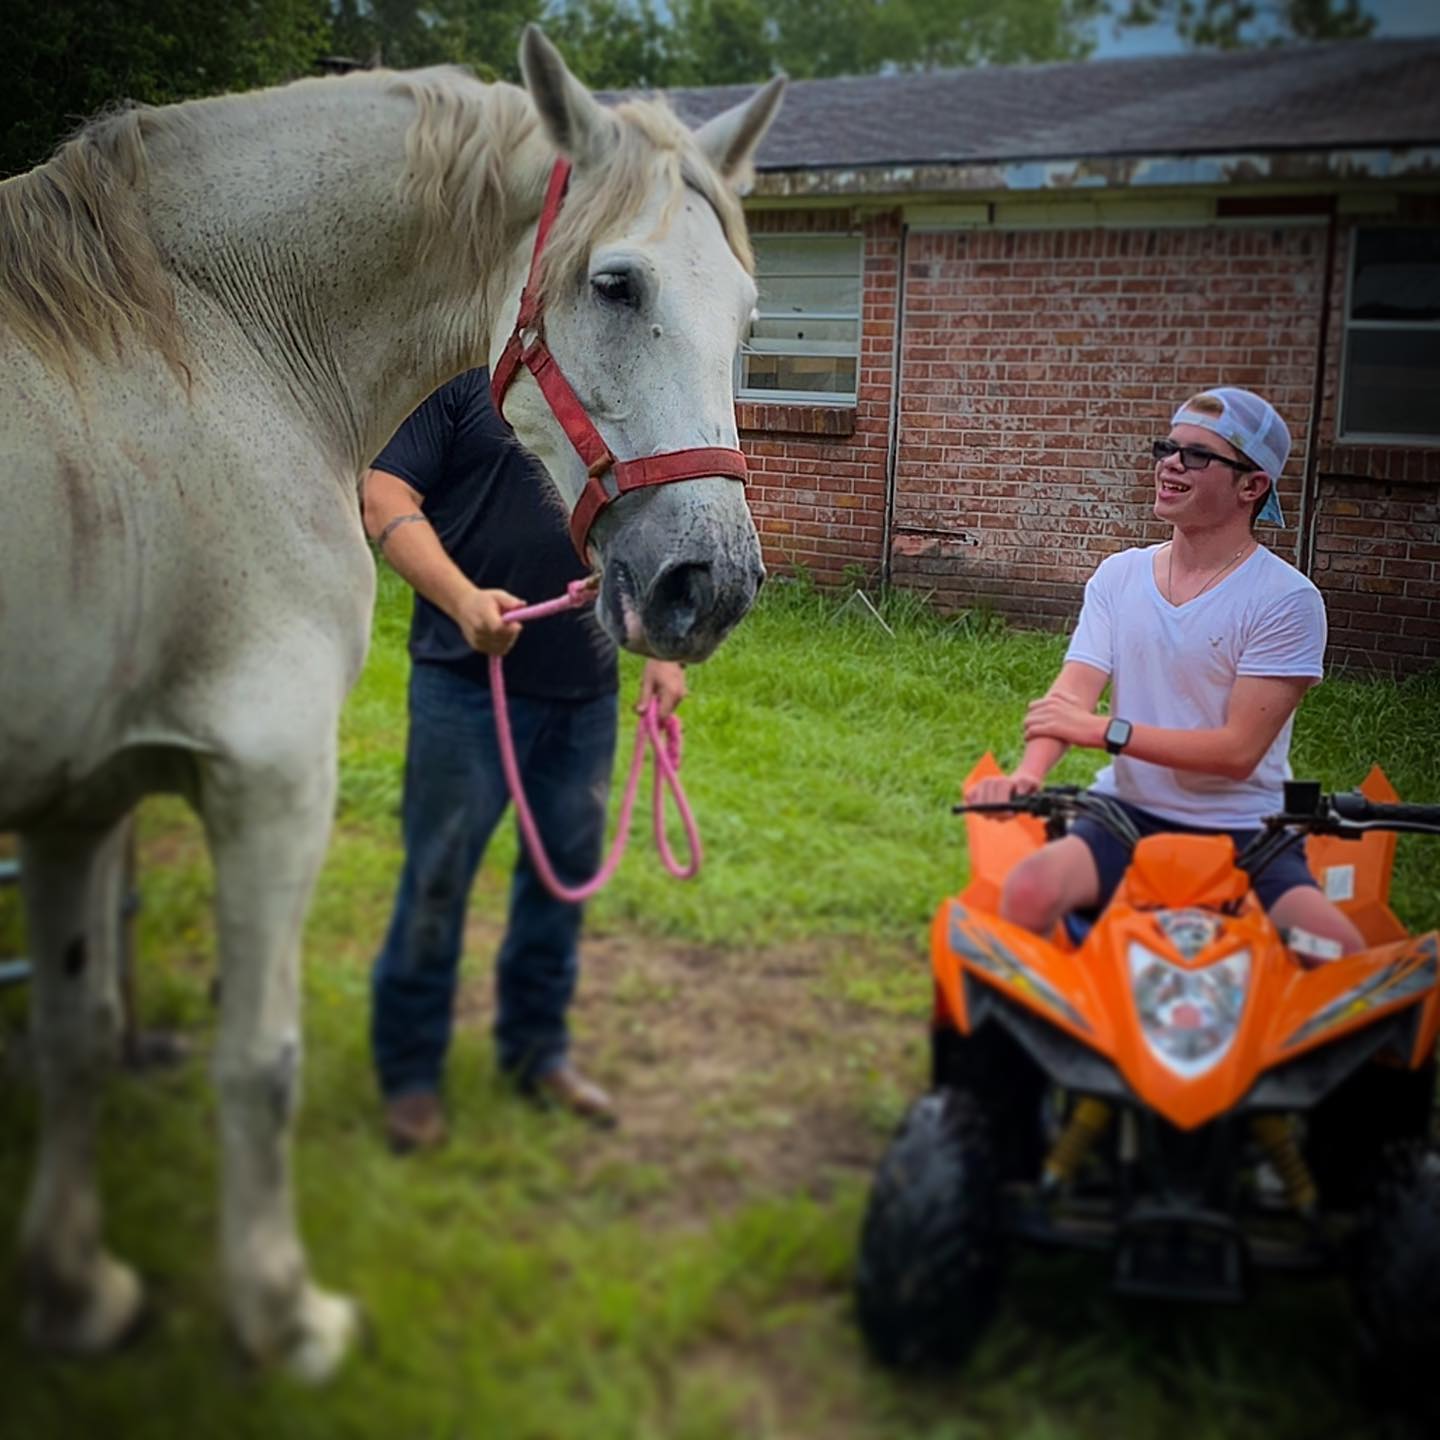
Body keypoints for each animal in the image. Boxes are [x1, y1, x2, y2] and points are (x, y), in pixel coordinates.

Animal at [0, 26, 782, 1380]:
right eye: (617, 284)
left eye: (745, 318)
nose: (710, 585)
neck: (203, 349)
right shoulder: (270, 779)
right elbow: (259, 1061)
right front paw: (285, 1317)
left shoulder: (76, 803)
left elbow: (76, 1034)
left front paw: (77, 1291)